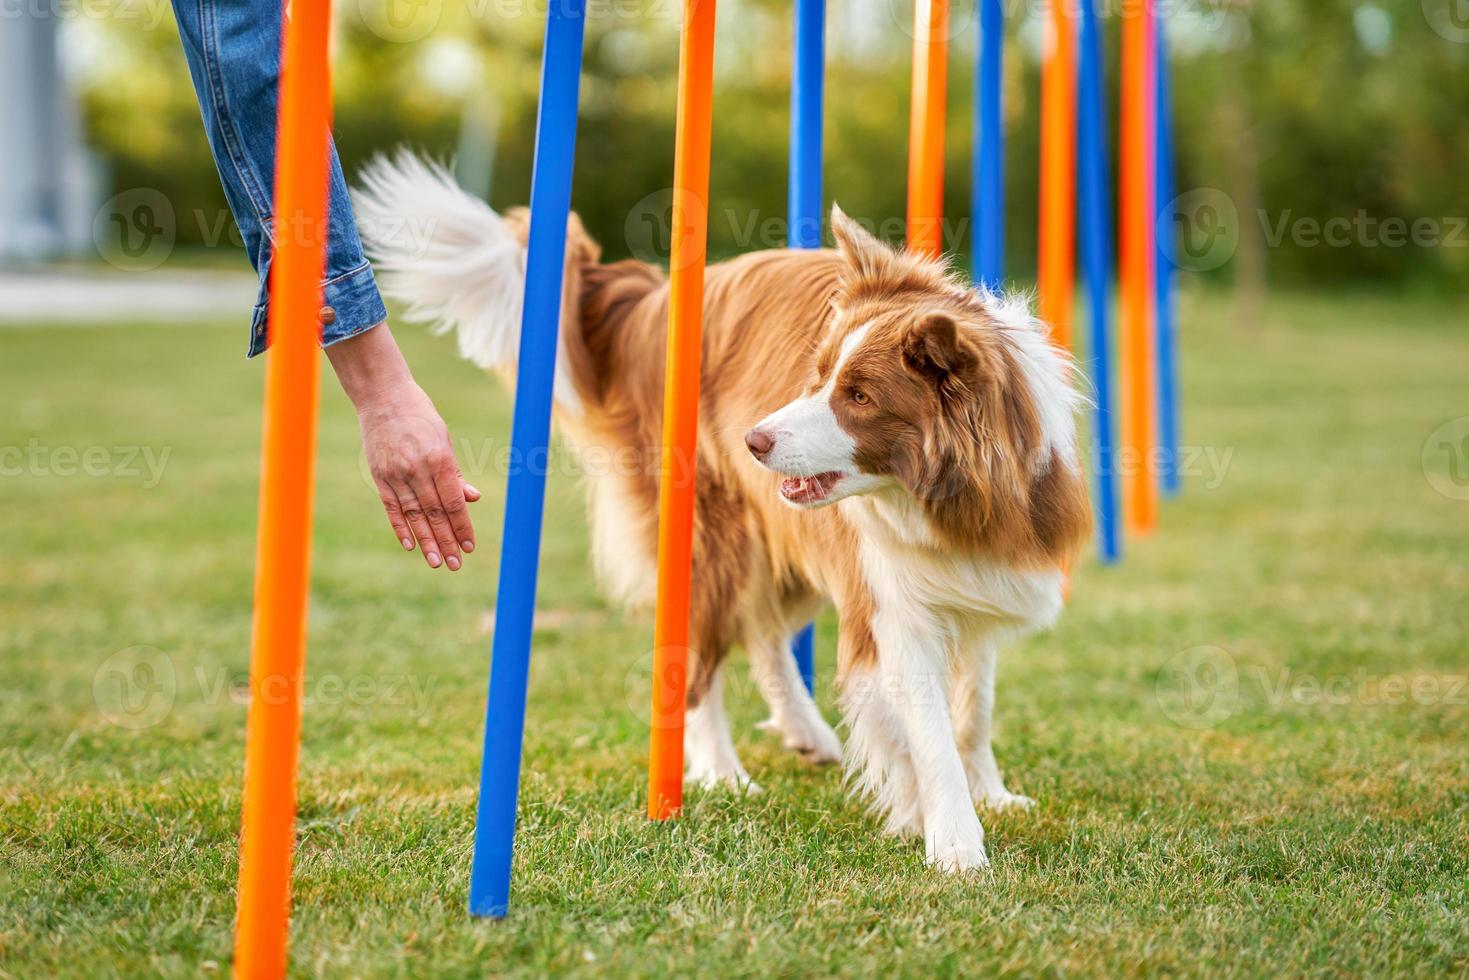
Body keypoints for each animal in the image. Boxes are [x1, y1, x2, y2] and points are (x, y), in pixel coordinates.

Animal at [355, 155, 1092, 875]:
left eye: (858, 396)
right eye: (816, 375)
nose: (752, 441)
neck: (944, 499)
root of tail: (653, 302)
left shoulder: (979, 581)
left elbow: (973, 707)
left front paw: (988, 793)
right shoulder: (890, 603)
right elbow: (928, 729)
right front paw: (953, 843)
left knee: (763, 633)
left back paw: (804, 732)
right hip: (712, 533)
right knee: (701, 655)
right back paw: (720, 772)